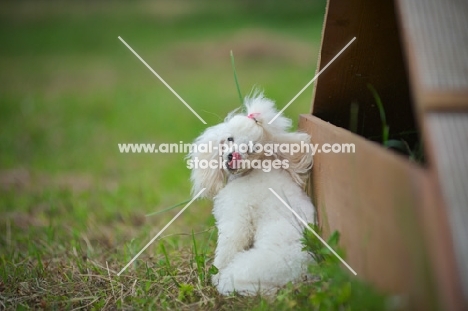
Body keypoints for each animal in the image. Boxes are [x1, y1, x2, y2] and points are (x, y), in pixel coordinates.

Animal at [188, 91, 316, 296]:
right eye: (230, 139)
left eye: (251, 149)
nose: (232, 156)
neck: (252, 171)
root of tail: (304, 273)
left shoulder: (237, 220)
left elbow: (227, 250)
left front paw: (214, 275)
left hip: (250, 268)